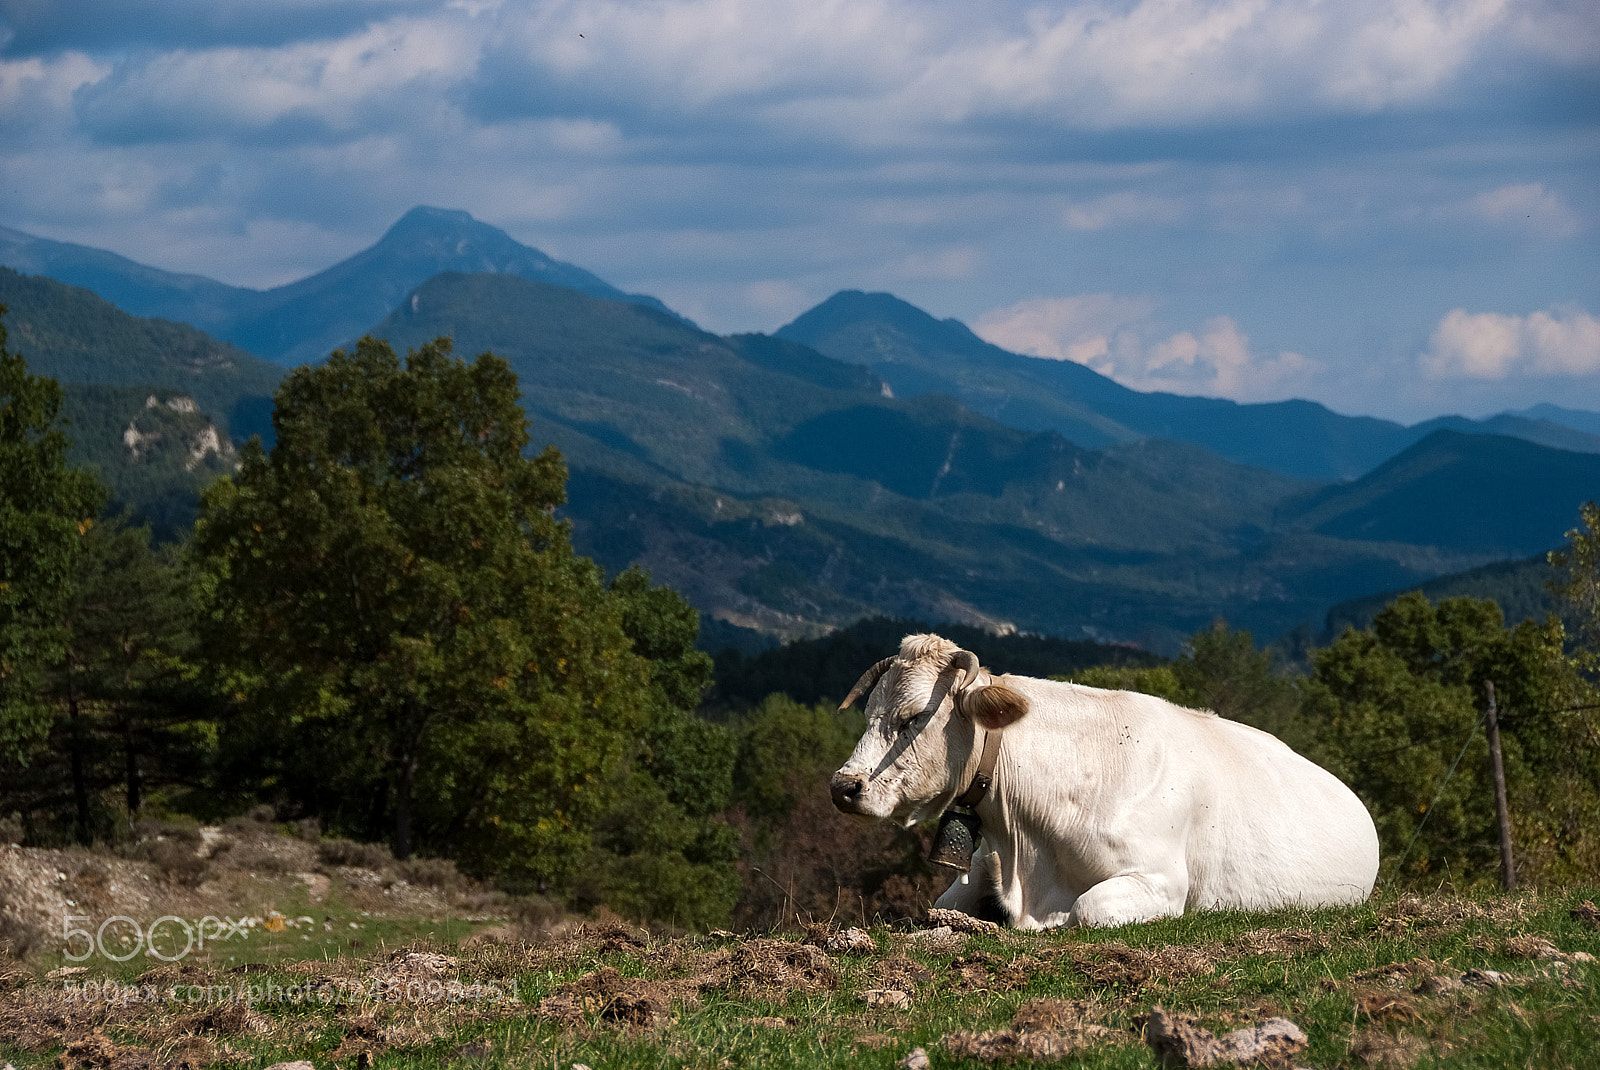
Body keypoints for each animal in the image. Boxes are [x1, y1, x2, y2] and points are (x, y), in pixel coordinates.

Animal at [829, 633, 1380, 928]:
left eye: (913, 717)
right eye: (869, 713)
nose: (843, 786)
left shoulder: (1161, 881)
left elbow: (1086, 910)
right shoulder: (984, 864)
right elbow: (942, 904)